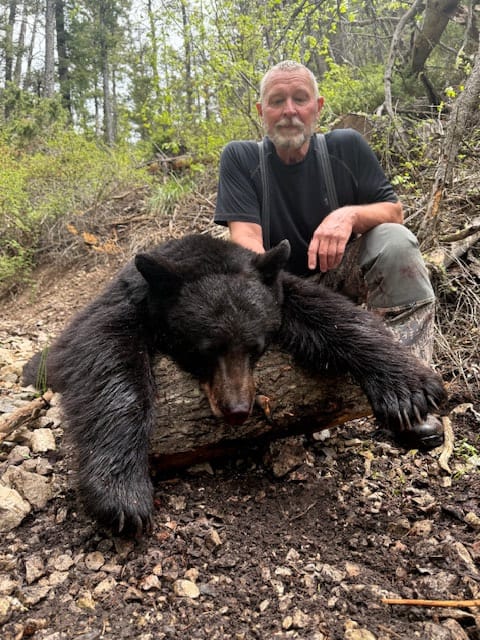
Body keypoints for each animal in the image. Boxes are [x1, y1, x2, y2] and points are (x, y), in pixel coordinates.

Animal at [23, 233, 446, 535]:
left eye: (256, 346)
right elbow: (103, 354)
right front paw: (122, 495)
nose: (238, 410)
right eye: (203, 351)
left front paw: (407, 389)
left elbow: (329, 311)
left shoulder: (279, 291)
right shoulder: (126, 305)